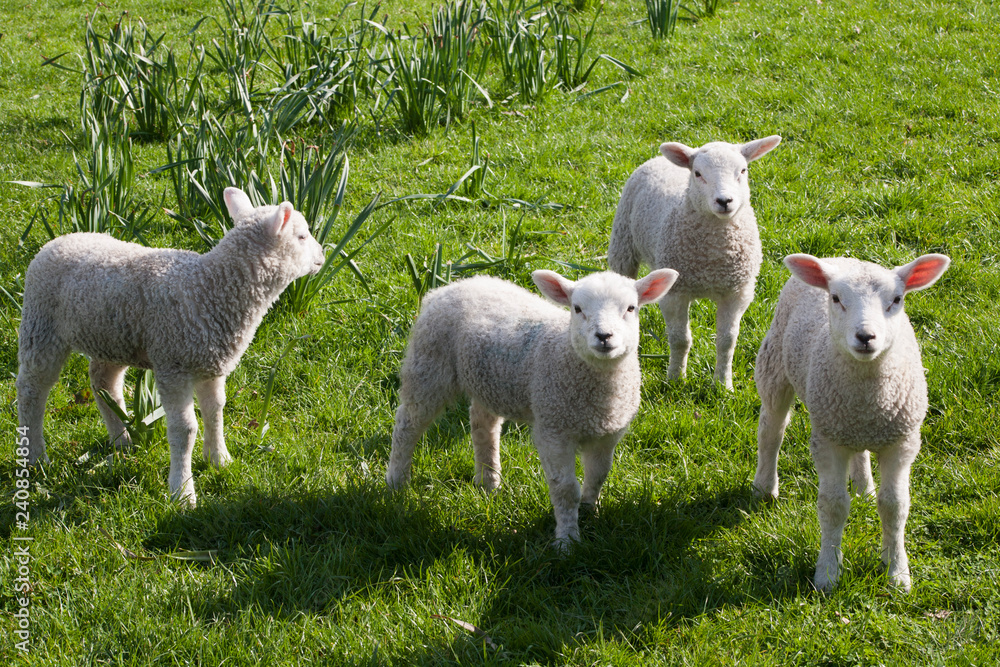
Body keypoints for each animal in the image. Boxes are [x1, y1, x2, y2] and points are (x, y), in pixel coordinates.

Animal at [16, 187, 325, 506]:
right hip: (42, 325)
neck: (210, 287)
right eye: (302, 236)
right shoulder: (173, 365)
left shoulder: (211, 364)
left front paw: (219, 459)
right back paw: (36, 457)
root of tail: (59, 240)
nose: (323, 254)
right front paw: (183, 491)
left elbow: (215, 410)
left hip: (112, 335)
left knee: (103, 382)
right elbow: (185, 429)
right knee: (31, 390)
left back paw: (122, 441)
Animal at [385, 268, 679, 546]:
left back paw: (488, 481)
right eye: (577, 308)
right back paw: (397, 482)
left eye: (631, 308)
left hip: (488, 380)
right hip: (429, 365)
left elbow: (598, 476)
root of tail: (451, 286)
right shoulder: (553, 429)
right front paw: (567, 541)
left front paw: (589, 513)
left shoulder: (608, 434)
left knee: (483, 425)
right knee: (407, 424)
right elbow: (565, 489)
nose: (604, 336)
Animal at [607, 136, 782, 389]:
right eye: (698, 173)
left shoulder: (737, 293)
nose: (724, 201)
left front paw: (723, 384)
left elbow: (727, 341)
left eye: (743, 170)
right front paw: (675, 379)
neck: (713, 256)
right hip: (623, 243)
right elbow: (680, 340)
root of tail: (660, 158)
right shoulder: (675, 293)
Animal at [752, 253, 950, 593]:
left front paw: (897, 573)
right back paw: (765, 486)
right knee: (771, 431)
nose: (865, 337)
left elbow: (895, 505)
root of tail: (839, 257)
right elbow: (833, 506)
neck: (869, 396)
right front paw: (828, 574)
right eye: (836, 298)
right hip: (775, 362)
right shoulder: (828, 440)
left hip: (850, 425)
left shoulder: (902, 441)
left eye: (897, 299)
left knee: (860, 452)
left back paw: (864, 488)